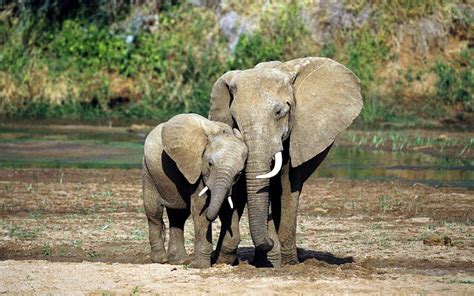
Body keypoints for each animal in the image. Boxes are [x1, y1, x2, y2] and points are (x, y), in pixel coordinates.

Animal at [142, 113, 248, 268]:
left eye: (239, 173)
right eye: (210, 164)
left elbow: (229, 209)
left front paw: (223, 262)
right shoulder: (197, 169)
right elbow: (200, 210)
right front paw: (201, 266)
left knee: (178, 215)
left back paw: (179, 261)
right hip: (148, 171)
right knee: (154, 212)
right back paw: (161, 260)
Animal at [208, 57, 362, 266]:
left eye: (279, 112)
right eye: (235, 118)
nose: (270, 242)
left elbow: (288, 185)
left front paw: (287, 263)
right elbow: (241, 187)